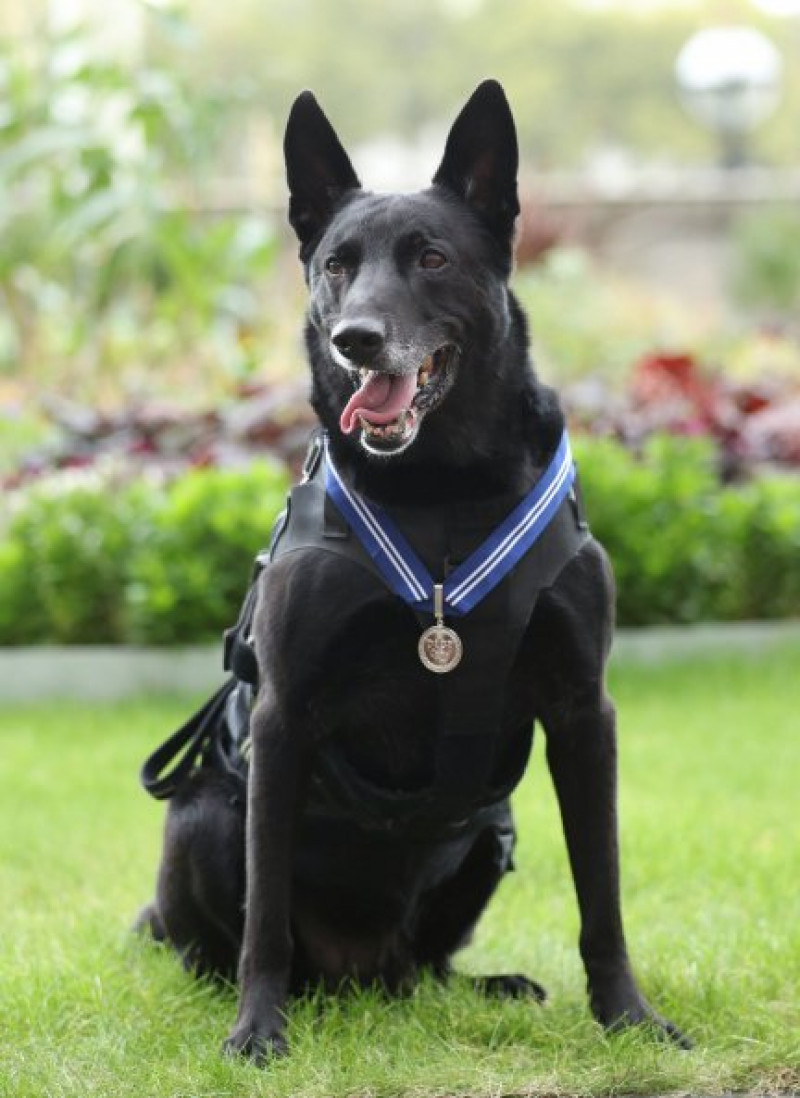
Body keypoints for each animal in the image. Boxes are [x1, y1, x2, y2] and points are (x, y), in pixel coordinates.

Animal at [138, 79, 684, 1062]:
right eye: (335, 266)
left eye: (431, 257)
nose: (357, 340)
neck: (441, 493)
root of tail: (363, 974)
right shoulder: (282, 718)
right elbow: (265, 915)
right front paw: (256, 1033)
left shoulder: (585, 712)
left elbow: (603, 894)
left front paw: (629, 1018)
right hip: (203, 810)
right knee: (225, 938)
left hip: (494, 834)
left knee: (428, 966)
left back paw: (487, 985)